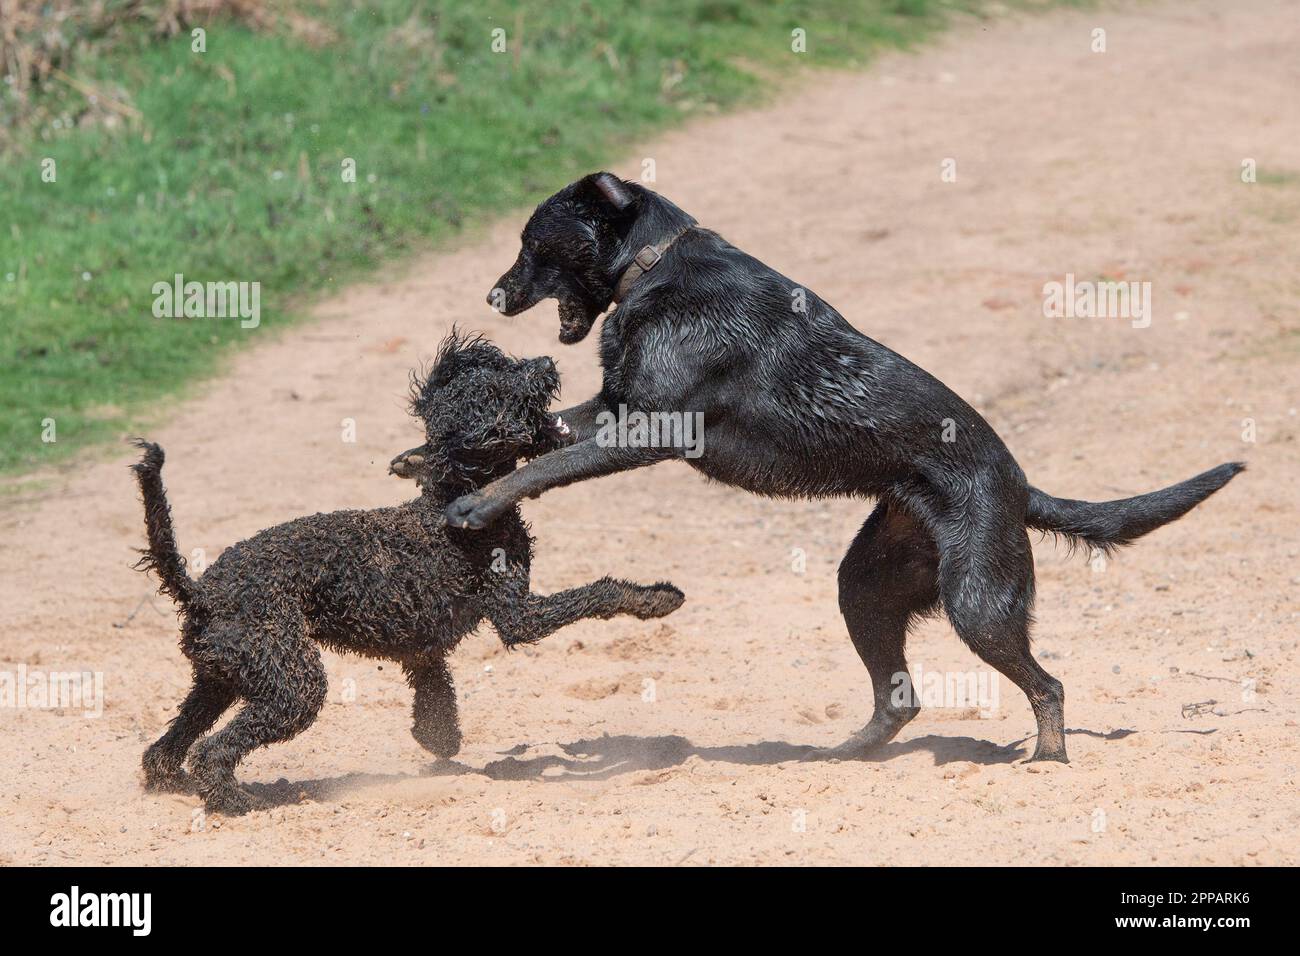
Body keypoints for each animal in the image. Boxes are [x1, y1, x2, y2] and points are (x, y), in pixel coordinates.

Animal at [133, 330, 686, 816]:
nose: (546, 362)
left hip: (220, 677)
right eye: (494, 393)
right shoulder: (519, 615)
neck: (451, 497)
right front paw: (655, 597)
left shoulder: (422, 647)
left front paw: (438, 740)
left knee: (165, 748)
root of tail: (200, 590)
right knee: (213, 750)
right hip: (290, 683)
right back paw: (236, 801)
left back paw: (176, 783)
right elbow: (598, 594)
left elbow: (436, 698)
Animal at [400, 175, 1242, 764]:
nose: (494, 295)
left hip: (979, 600)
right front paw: (430, 456)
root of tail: (1019, 484)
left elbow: (543, 466)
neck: (655, 269)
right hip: (865, 587)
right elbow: (535, 438)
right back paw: (843, 758)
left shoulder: (646, 432)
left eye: (535, 244)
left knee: (1049, 686)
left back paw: (1048, 761)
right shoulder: (611, 408)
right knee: (901, 701)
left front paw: (476, 502)